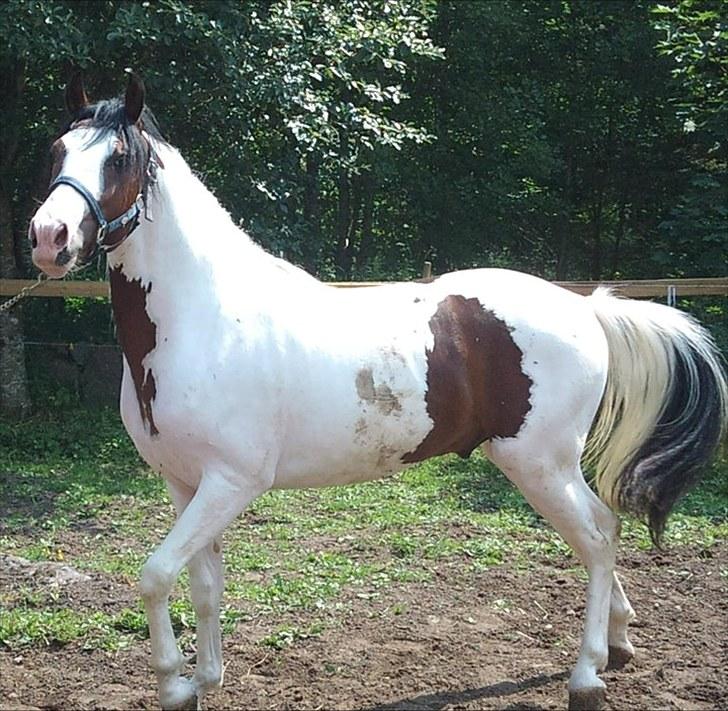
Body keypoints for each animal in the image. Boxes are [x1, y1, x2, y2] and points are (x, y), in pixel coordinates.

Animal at [29, 74, 727, 711]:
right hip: (549, 466)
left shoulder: (231, 482)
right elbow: (202, 584)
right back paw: (619, 643)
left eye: (119, 158)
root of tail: (585, 308)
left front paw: (174, 686)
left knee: (599, 536)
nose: (48, 237)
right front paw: (204, 679)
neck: (201, 318)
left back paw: (586, 674)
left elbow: (154, 575)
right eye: (58, 149)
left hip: (539, 464)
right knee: (602, 531)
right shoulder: (185, 484)